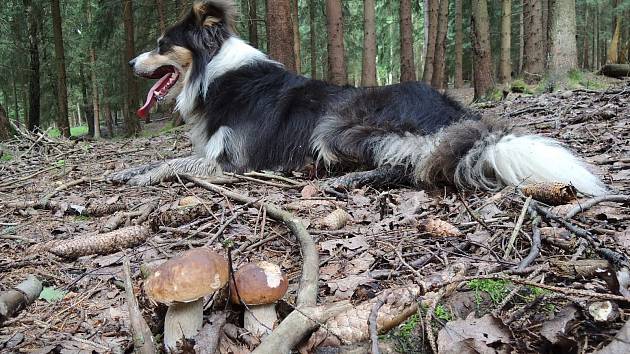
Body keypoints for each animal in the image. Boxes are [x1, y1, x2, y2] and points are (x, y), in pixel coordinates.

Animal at [111, 0, 608, 196]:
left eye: (161, 45)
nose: (129, 63)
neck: (214, 73)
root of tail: (449, 112)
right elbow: (167, 158)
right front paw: (125, 171)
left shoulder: (233, 162)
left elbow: (176, 164)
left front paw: (142, 176)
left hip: (337, 123)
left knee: (412, 165)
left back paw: (344, 179)